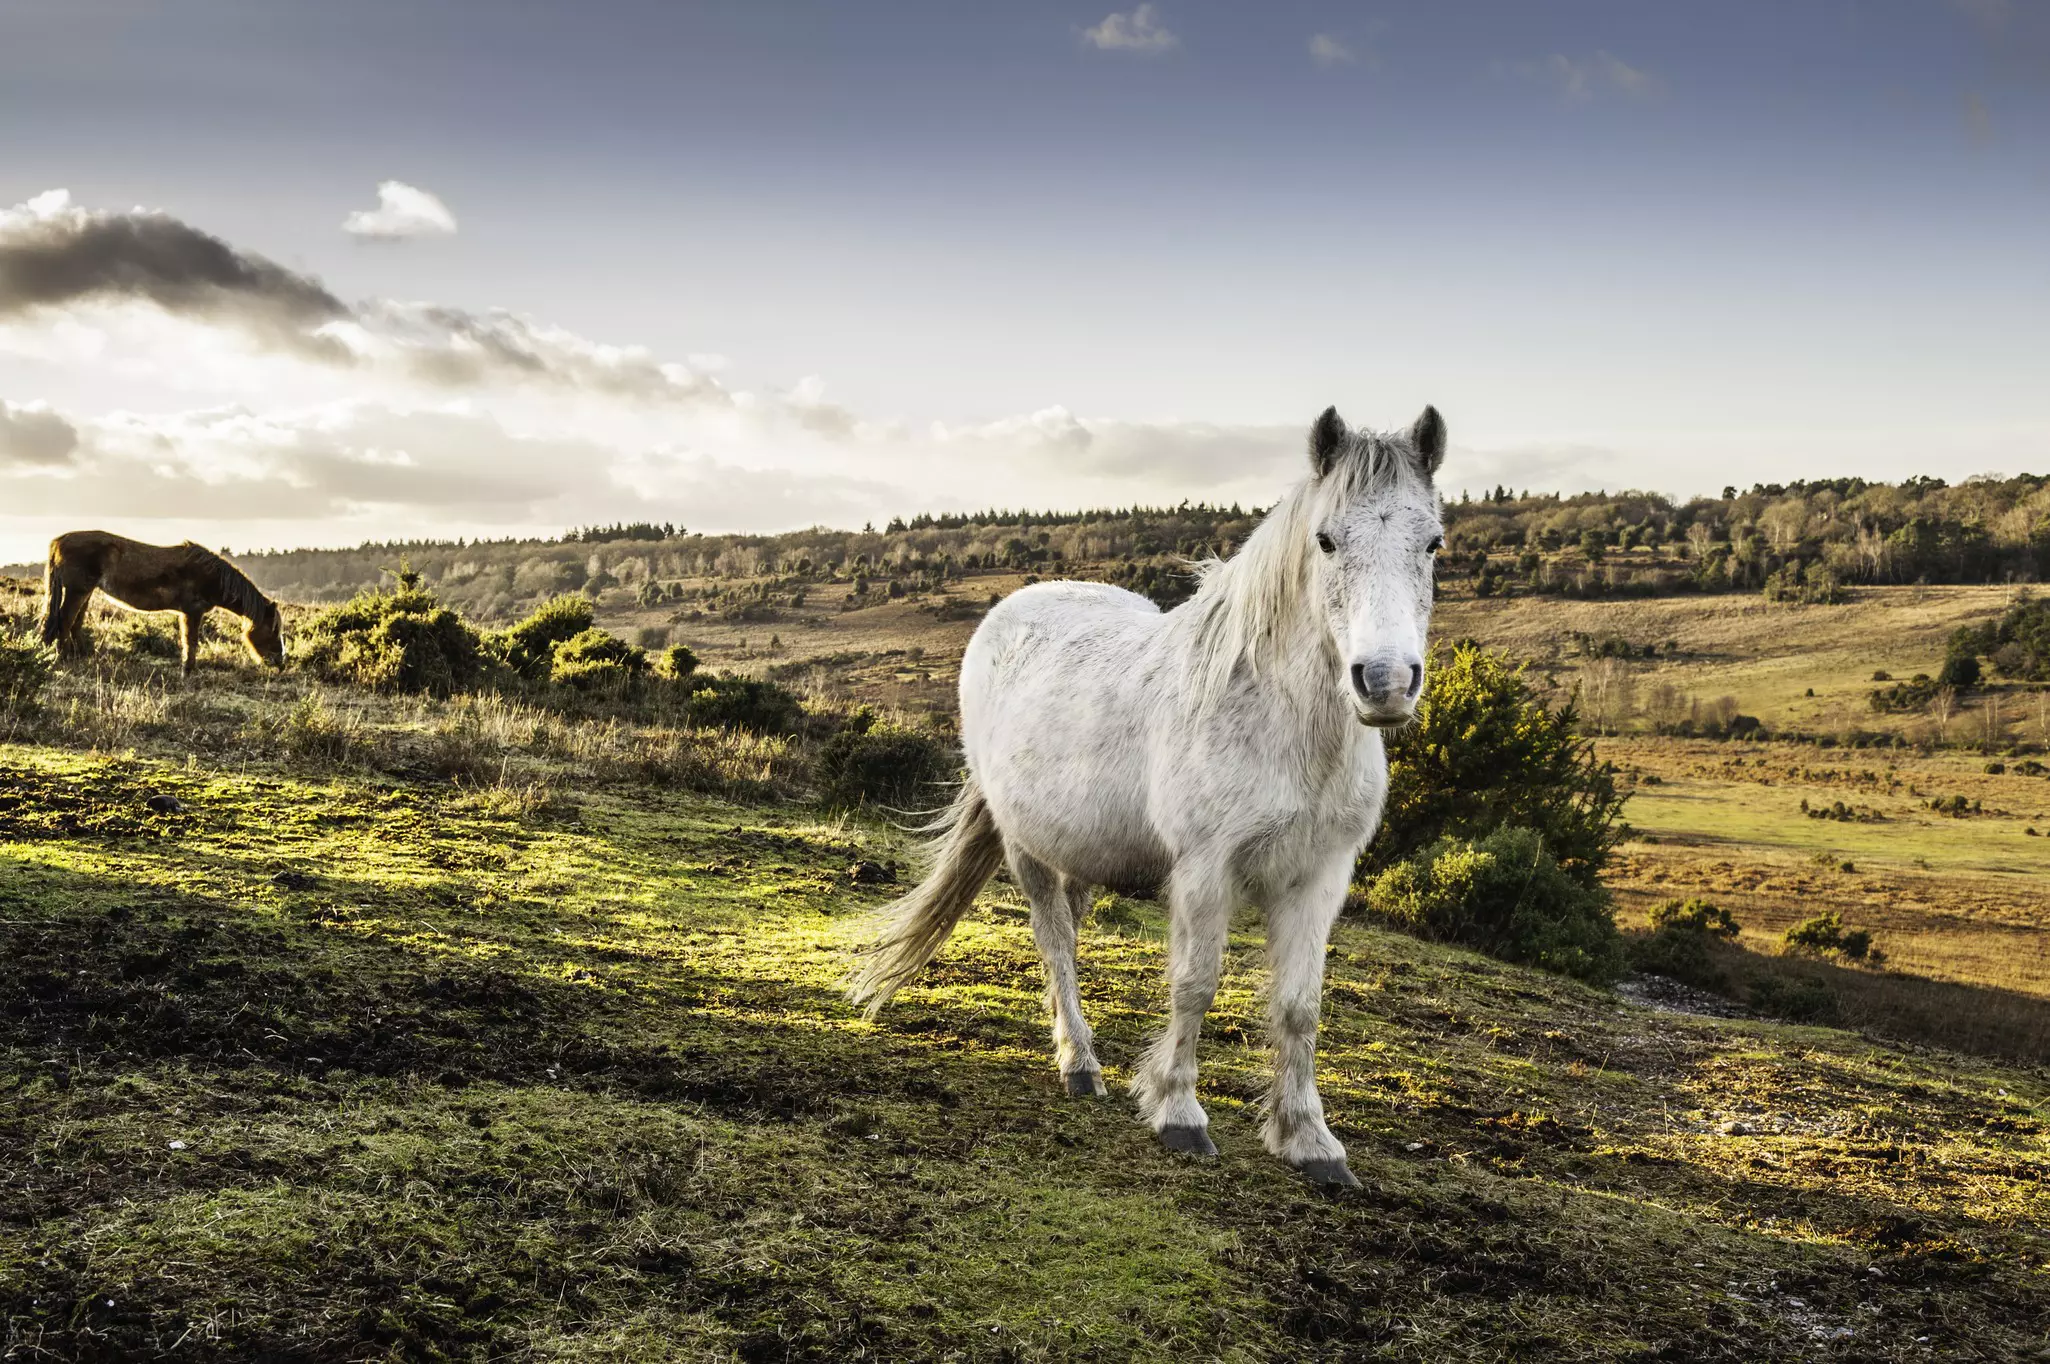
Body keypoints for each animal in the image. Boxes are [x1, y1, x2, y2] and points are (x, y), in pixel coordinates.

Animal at [39, 531, 286, 674]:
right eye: (273, 629)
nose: (281, 663)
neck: (212, 577)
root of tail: (58, 541)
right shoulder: (192, 612)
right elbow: (191, 641)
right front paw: (189, 670)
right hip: (77, 591)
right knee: (65, 622)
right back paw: (63, 658)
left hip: (85, 592)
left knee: (75, 624)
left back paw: (81, 657)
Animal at [848, 403, 1447, 1189]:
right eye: (1326, 540)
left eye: (1433, 543)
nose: (1384, 682)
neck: (1283, 721)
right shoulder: (1204, 869)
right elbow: (1195, 984)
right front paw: (1178, 1113)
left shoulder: (1321, 877)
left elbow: (1299, 1007)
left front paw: (1310, 1142)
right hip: (1025, 846)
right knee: (1054, 941)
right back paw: (1079, 1064)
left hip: (1080, 850)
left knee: (1068, 935)